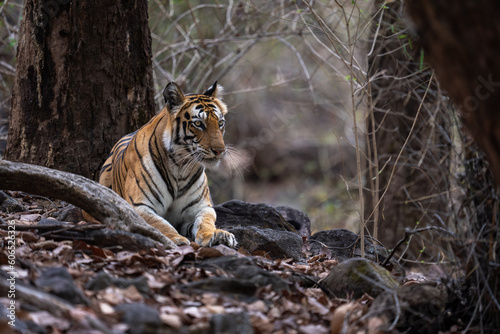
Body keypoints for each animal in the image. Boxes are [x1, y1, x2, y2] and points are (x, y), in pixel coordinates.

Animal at [100, 81, 238, 248]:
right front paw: (176, 238)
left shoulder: (201, 208)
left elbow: (205, 222)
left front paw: (217, 234)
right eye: (198, 123)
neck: (181, 166)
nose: (219, 151)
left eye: (220, 123)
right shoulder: (139, 205)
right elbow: (160, 223)